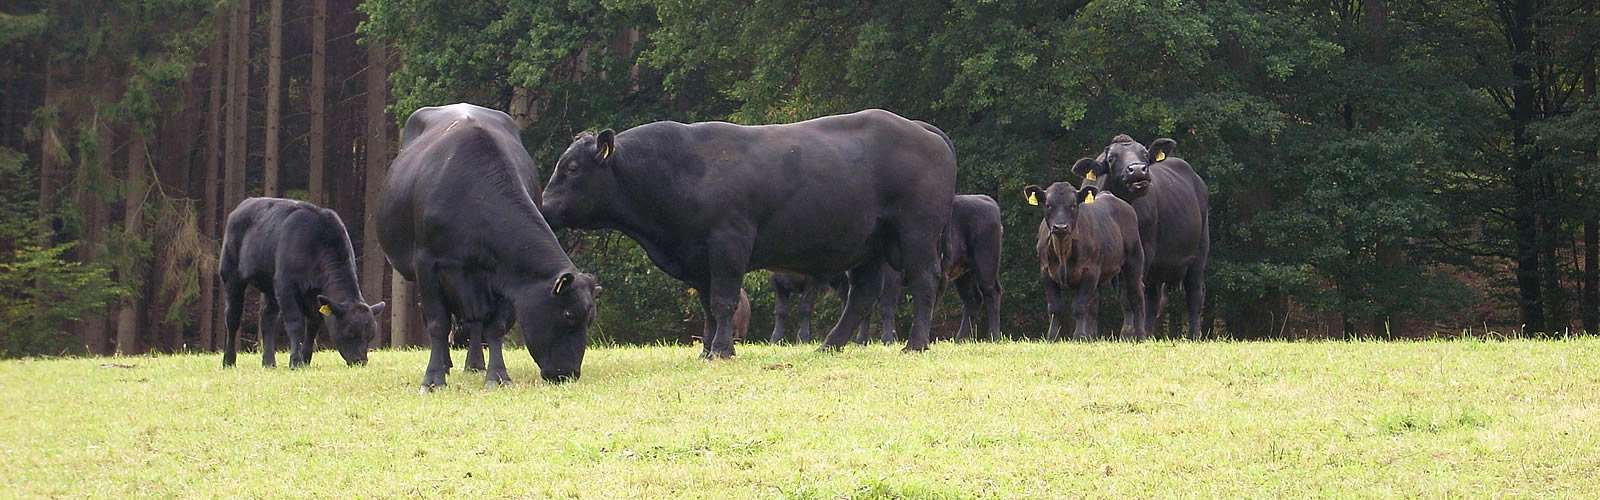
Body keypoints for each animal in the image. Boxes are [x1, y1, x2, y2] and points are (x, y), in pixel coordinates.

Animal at [219, 197, 387, 366]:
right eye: (350, 332)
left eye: (370, 335)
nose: (360, 361)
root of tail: (246, 203)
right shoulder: (286, 286)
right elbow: (296, 323)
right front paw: (295, 361)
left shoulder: (315, 294)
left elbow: (314, 323)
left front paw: (305, 359)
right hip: (231, 274)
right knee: (232, 317)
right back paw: (229, 361)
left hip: (270, 285)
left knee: (267, 318)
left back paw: (269, 362)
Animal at [376, 103, 601, 389]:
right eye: (569, 314)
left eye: (590, 320)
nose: (569, 373)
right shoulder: (427, 263)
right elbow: (438, 323)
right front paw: (433, 379)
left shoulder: (505, 273)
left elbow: (495, 327)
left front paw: (497, 375)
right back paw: (446, 364)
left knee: (475, 321)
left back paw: (475, 364)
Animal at [544, 108, 953, 358]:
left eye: (573, 167)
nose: (545, 204)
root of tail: (918, 126)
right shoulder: (698, 258)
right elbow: (708, 306)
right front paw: (707, 348)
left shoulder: (729, 242)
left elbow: (723, 301)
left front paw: (721, 350)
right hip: (868, 244)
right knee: (862, 295)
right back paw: (829, 346)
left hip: (916, 232)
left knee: (924, 281)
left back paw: (915, 344)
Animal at [1024, 181, 1139, 341]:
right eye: (1048, 205)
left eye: (1073, 205)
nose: (1060, 227)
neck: (1063, 252)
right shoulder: (1046, 272)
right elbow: (1054, 307)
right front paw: (1052, 337)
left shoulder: (1089, 272)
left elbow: (1079, 305)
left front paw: (1079, 336)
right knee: (1114, 302)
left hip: (1134, 261)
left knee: (1135, 295)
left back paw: (1138, 333)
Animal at [1075, 135, 1209, 339]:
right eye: (1112, 158)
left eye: (1145, 154)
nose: (1137, 170)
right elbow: (1094, 299)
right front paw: (1090, 335)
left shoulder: (1142, 251)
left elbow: (1129, 295)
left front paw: (1127, 333)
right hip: (1157, 267)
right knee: (1153, 300)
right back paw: (1148, 332)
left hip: (1199, 253)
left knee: (1194, 294)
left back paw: (1192, 335)